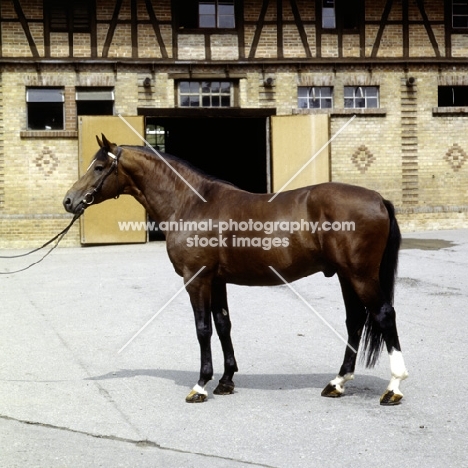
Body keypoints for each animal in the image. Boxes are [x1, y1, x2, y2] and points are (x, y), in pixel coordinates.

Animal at [64, 133, 408, 404]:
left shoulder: (196, 279)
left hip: (360, 275)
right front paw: (226, 380)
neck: (190, 204)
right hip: (346, 276)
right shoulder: (217, 280)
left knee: (383, 315)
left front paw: (201, 385)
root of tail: (379, 199)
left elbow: (203, 328)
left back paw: (393, 388)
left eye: (98, 167)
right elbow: (223, 324)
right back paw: (337, 383)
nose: (69, 200)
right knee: (356, 321)